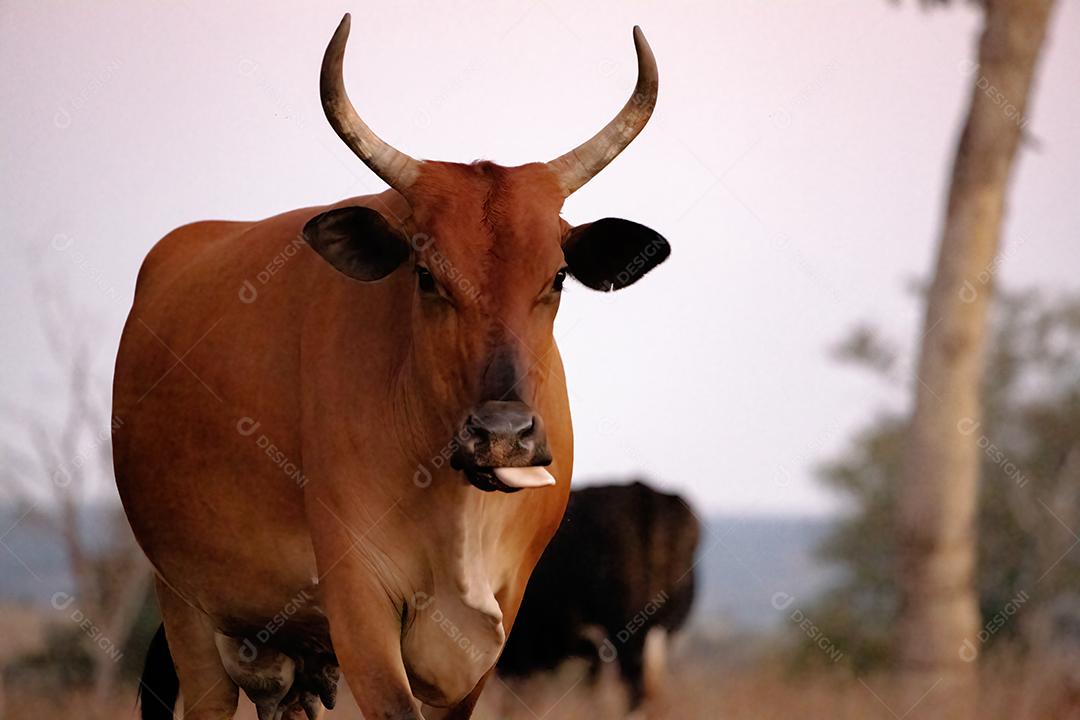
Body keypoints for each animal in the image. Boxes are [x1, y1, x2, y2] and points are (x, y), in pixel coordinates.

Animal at [112, 13, 670, 720]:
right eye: (426, 274)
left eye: (559, 277)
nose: (503, 436)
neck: (457, 512)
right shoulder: (359, 603)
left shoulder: (494, 628)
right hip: (187, 610)